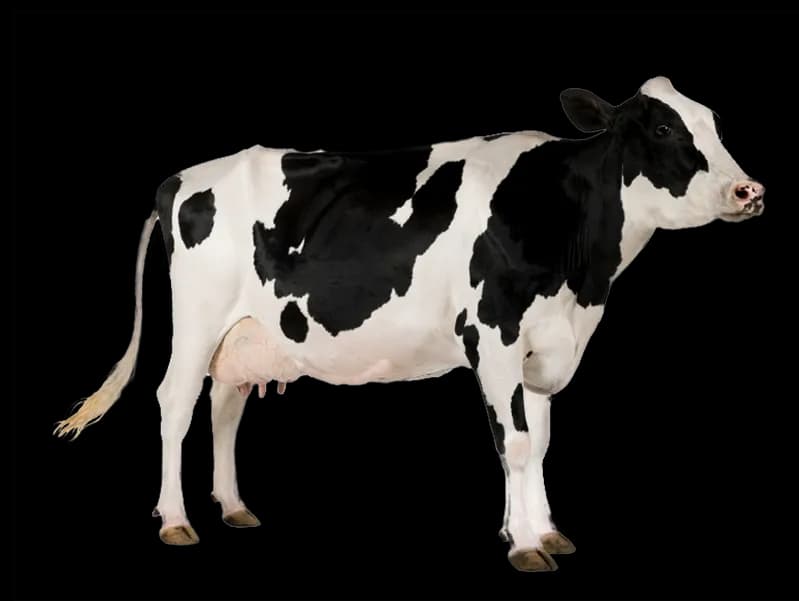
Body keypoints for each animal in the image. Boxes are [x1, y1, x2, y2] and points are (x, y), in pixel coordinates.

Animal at [55, 76, 764, 572]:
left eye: (713, 123)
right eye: (663, 129)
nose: (749, 191)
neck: (579, 273)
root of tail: (180, 178)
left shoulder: (543, 350)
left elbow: (537, 443)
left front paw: (540, 529)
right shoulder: (493, 337)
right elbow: (513, 443)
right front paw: (524, 544)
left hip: (248, 331)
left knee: (225, 407)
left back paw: (234, 507)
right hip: (198, 318)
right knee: (175, 402)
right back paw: (175, 520)